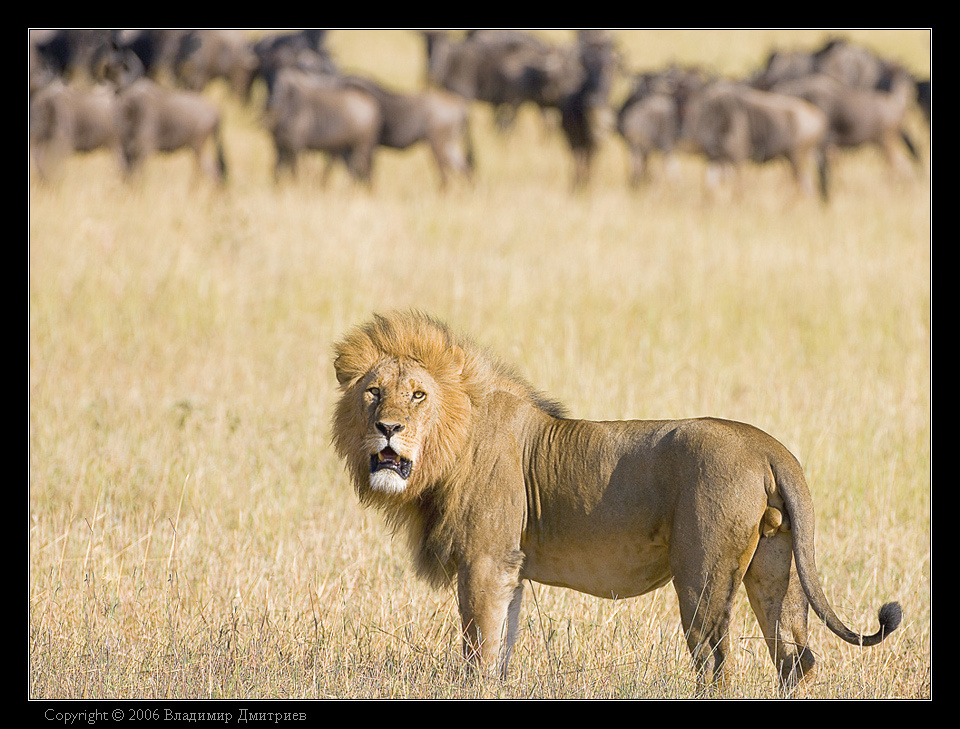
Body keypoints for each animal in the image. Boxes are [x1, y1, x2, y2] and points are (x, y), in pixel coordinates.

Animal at [331, 310, 901, 692]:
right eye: (373, 392)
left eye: (418, 394)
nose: (388, 429)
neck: (451, 444)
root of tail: (769, 446)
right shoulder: (509, 567)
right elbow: (503, 645)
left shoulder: (485, 560)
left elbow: (480, 652)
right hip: (776, 567)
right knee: (794, 659)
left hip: (702, 577)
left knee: (716, 665)